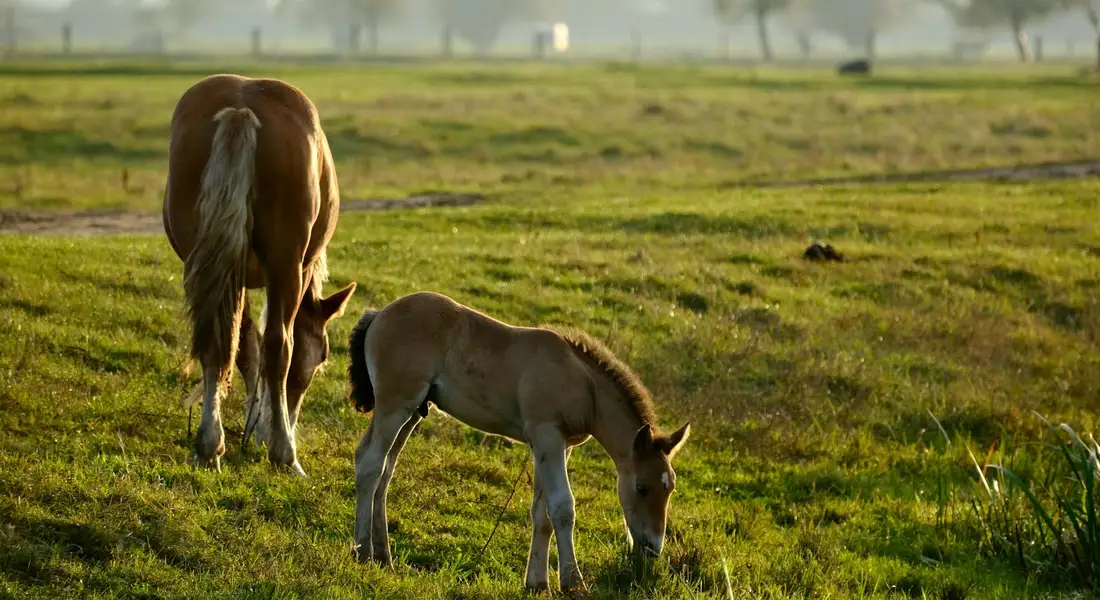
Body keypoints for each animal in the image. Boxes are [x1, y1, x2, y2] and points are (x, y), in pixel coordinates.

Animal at [163, 74, 357, 476]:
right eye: (322, 357)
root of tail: (242, 108)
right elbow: (267, 352)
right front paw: (266, 430)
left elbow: (244, 348)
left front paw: (253, 426)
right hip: (285, 266)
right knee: (278, 346)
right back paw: (285, 453)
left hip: (209, 265)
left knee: (218, 342)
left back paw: (209, 447)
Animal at [346, 291, 691, 593]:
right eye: (642, 488)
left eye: (670, 488)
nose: (652, 548)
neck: (584, 384)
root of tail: (379, 313)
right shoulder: (548, 435)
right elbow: (563, 507)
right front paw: (573, 582)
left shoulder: (554, 446)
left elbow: (542, 513)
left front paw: (537, 583)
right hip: (396, 404)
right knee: (370, 464)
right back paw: (362, 551)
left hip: (414, 412)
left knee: (385, 470)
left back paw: (383, 556)